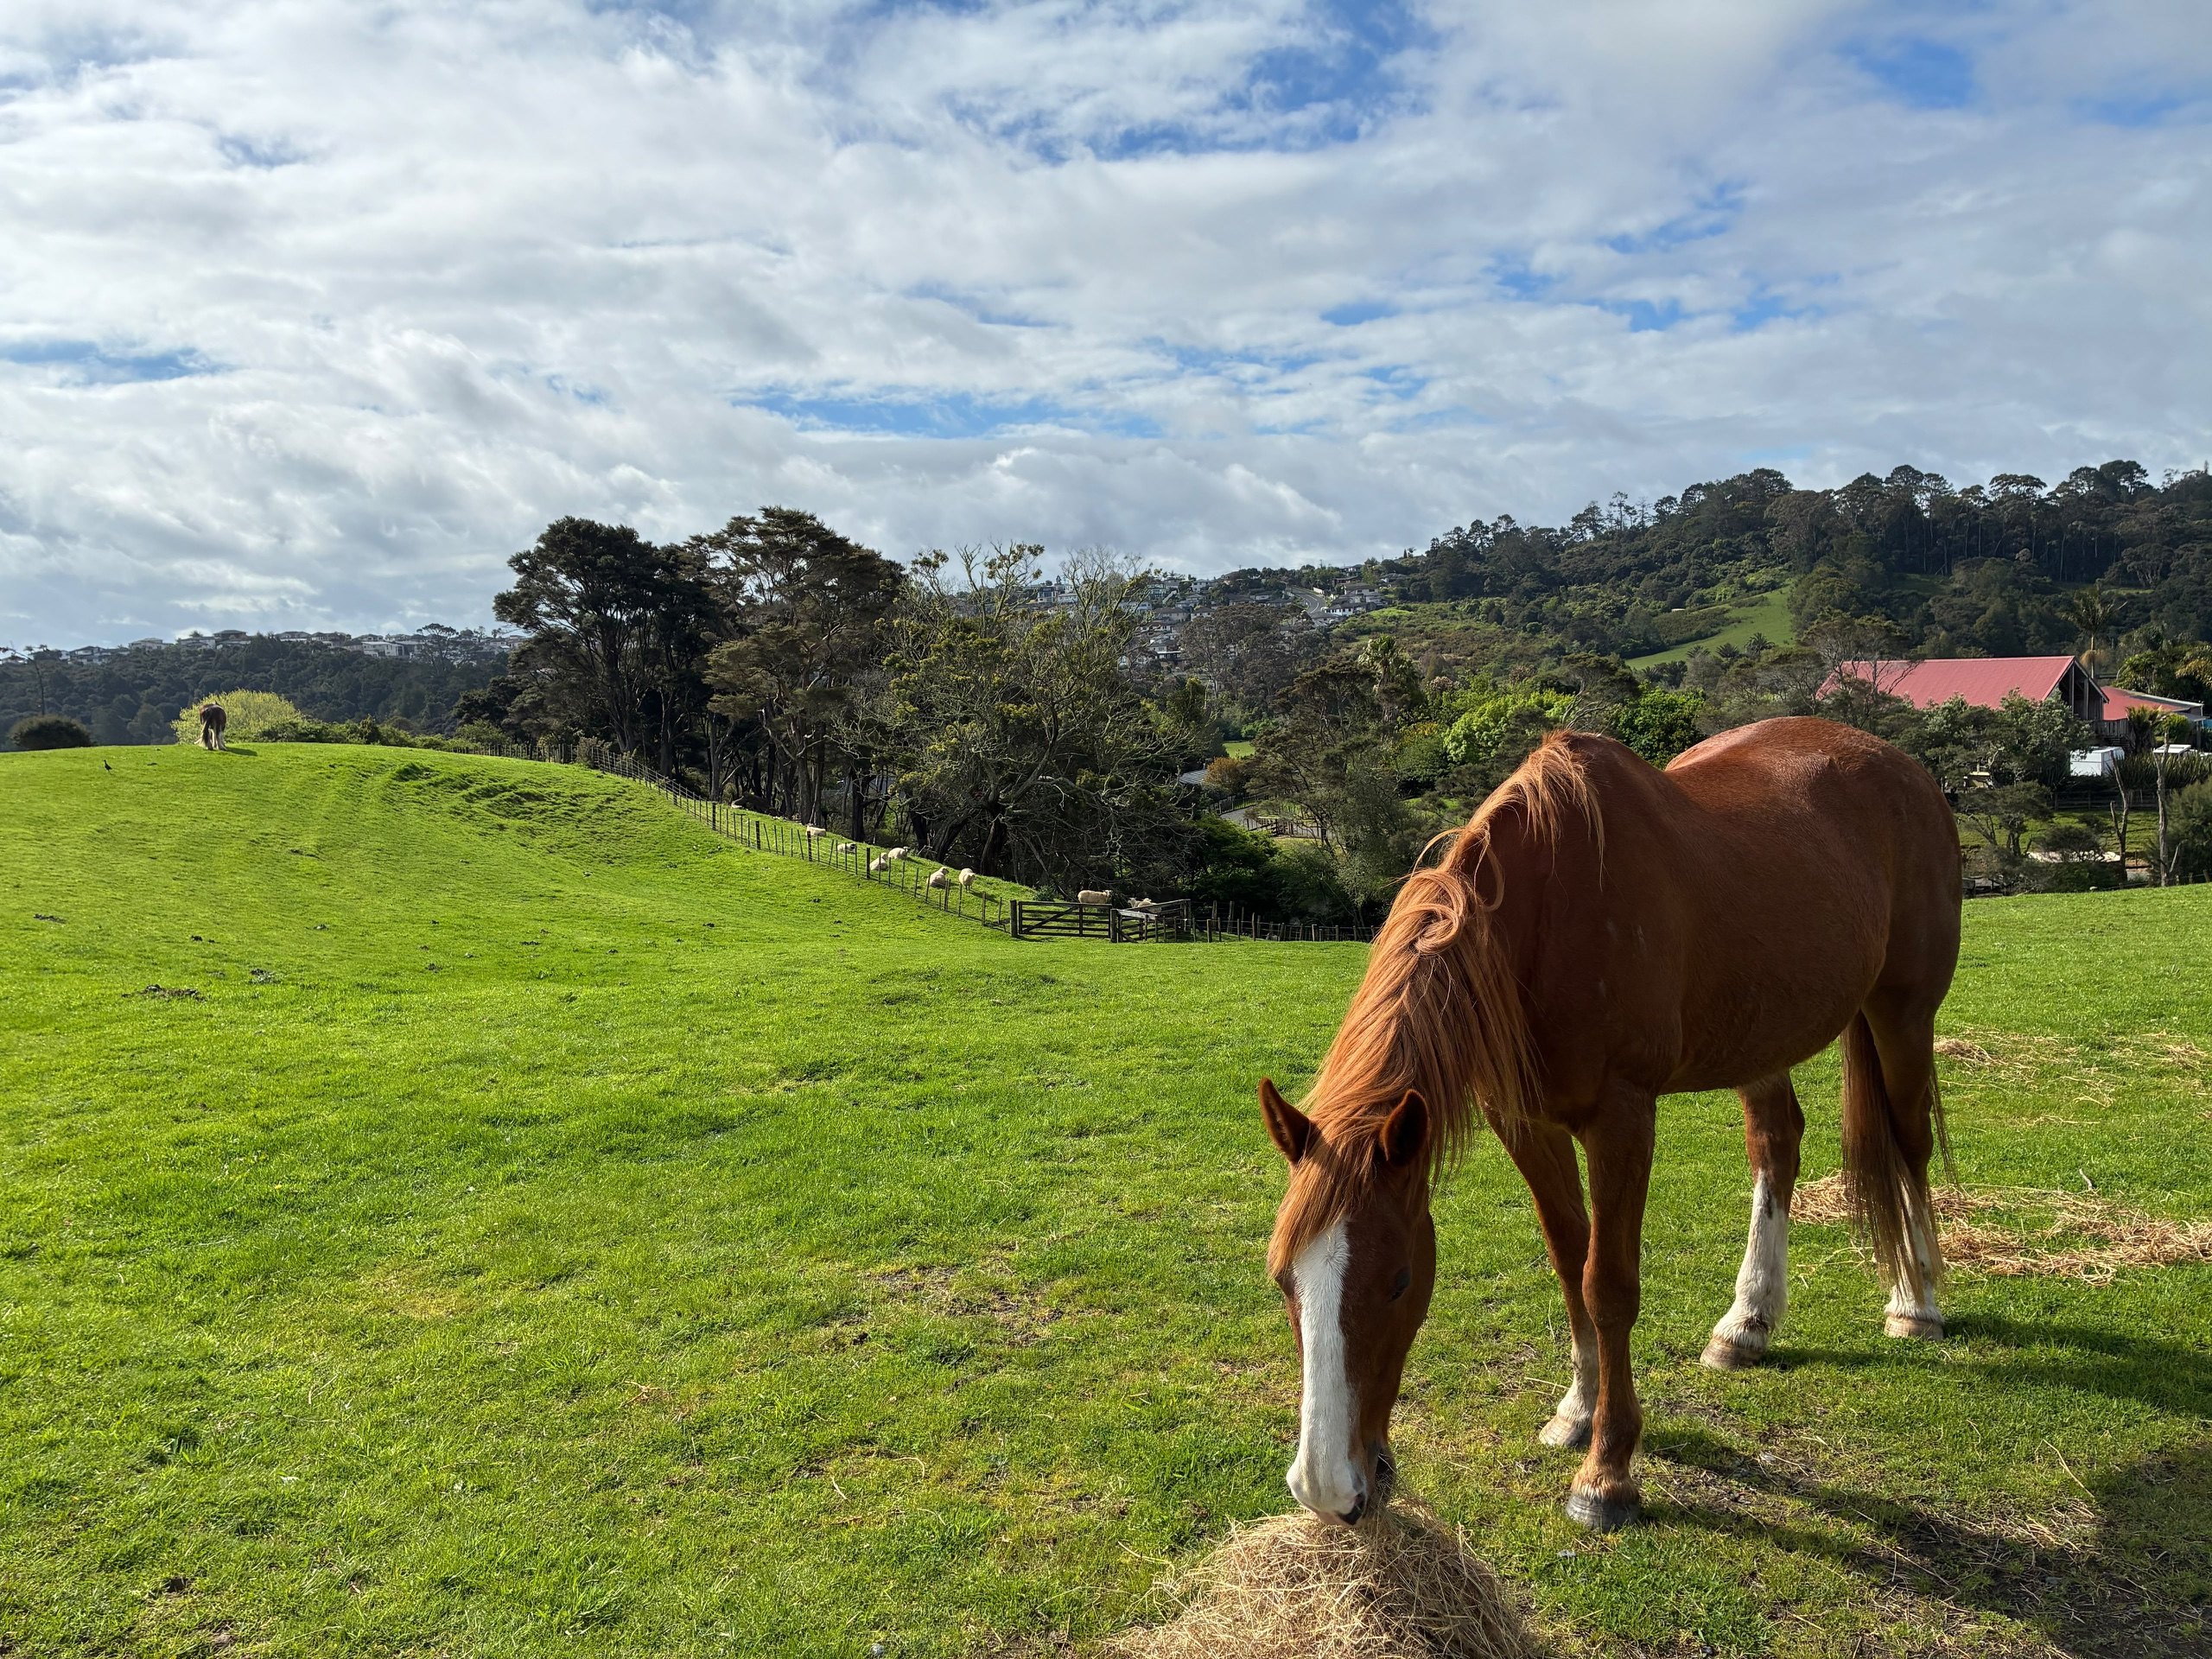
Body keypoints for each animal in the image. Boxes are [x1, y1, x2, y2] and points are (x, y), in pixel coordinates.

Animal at [1259, 717, 1960, 1533]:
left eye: (1399, 1280)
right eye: (1283, 1278)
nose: (1326, 1489)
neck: (1543, 919)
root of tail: (1901, 768)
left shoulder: (1621, 1119)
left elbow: (1610, 1284)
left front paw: (1607, 1472)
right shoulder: (1524, 1122)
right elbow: (1571, 1262)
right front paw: (1576, 1410)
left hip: (1901, 1013)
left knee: (1909, 1143)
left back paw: (1917, 1303)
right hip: (1762, 1036)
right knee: (1777, 1144)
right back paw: (1746, 1323)